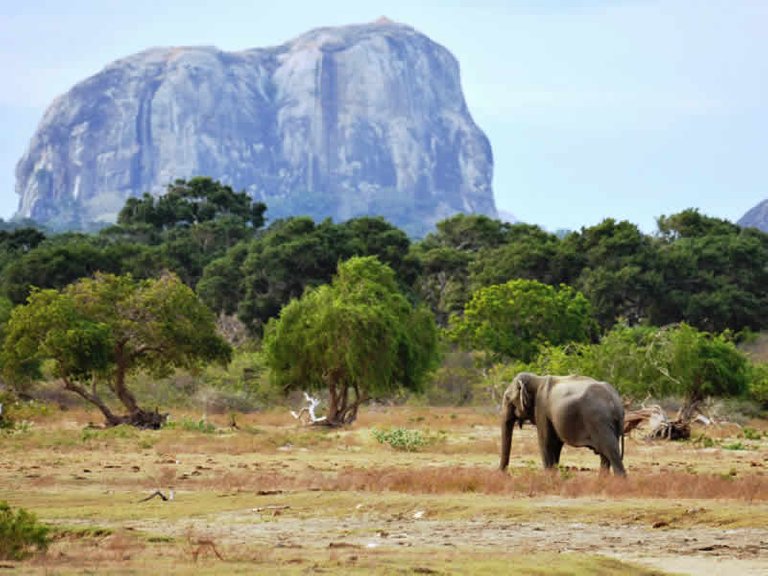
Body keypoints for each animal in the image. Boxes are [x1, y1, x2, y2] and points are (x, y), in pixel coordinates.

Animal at [498, 372, 632, 474]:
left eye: (507, 398)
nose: (505, 475)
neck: (537, 379)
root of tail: (617, 401)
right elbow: (556, 444)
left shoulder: (541, 409)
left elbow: (545, 442)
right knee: (606, 456)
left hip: (599, 421)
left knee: (611, 451)